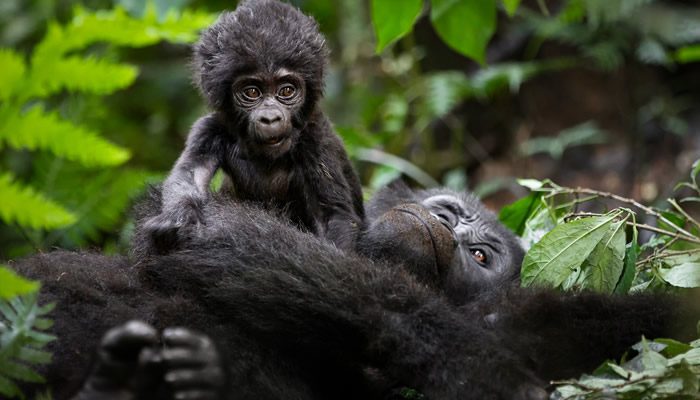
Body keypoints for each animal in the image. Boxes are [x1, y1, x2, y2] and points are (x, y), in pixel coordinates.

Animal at [143, 0, 364, 252]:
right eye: (252, 92)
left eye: (286, 91)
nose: (270, 118)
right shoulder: (209, 129)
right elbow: (190, 174)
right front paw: (178, 218)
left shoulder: (316, 137)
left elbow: (333, 217)